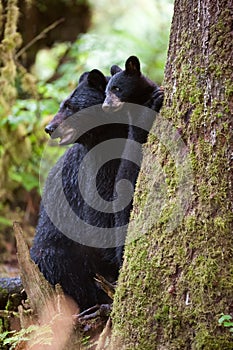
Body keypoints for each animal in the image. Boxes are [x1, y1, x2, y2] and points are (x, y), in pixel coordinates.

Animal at [30, 69, 127, 310]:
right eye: (62, 104)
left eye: (70, 105)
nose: (49, 129)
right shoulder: (92, 172)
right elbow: (100, 217)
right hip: (57, 248)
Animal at [102, 54, 164, 262]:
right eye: (106, 90)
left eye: (117, 88)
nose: (105, 105)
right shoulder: (135, 125)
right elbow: (141, 132)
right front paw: (157, 99)